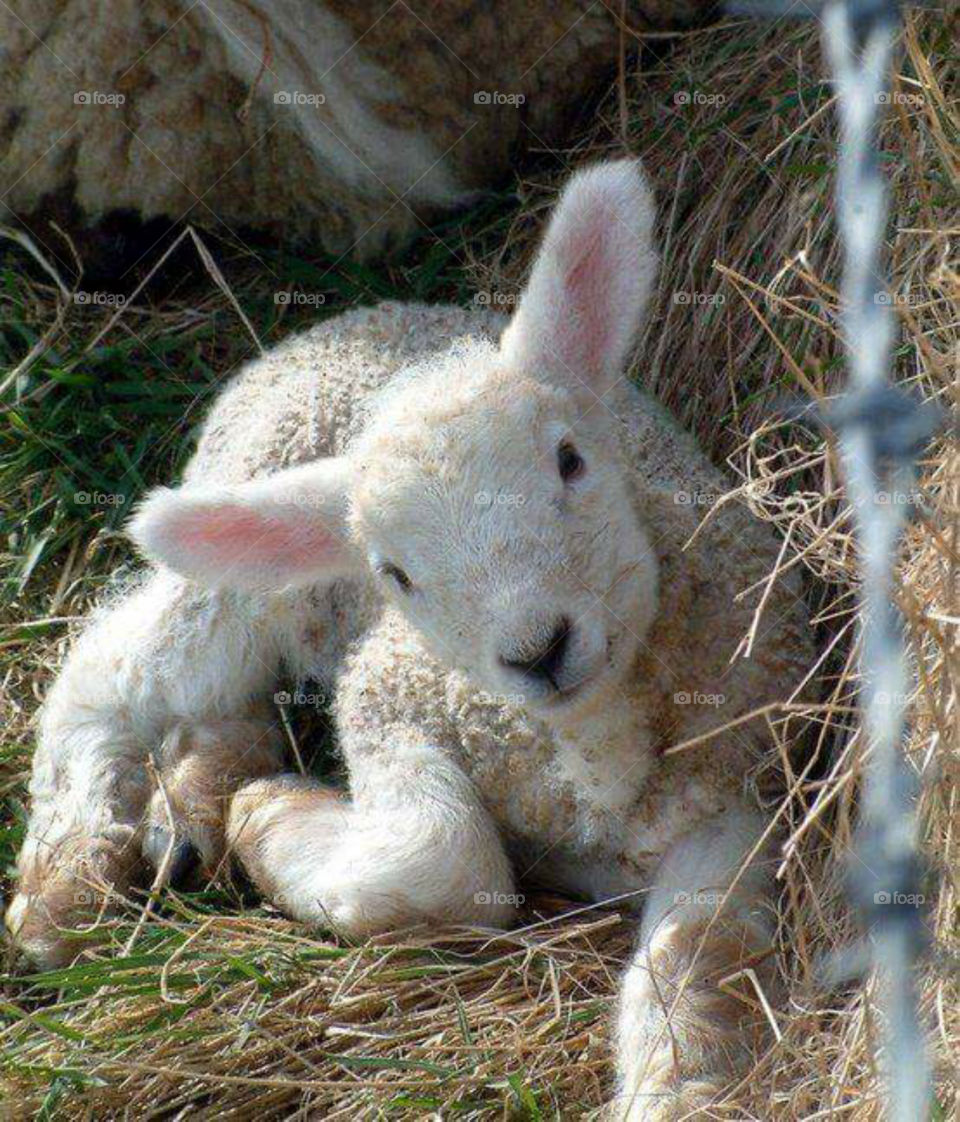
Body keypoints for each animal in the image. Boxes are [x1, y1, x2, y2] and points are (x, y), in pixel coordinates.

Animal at [7, 160, 813, 1119]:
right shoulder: (387, 698)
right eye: (394, 573)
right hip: (245, 558)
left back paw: (197, 792)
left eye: (570, 460)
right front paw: (272, 817)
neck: (592, 749)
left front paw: (683, 1085)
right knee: (112, 666)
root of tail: (341, 326)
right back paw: (68, 881)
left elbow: (699, 960)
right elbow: (449, 862)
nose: (537, 649)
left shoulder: (739, 784)